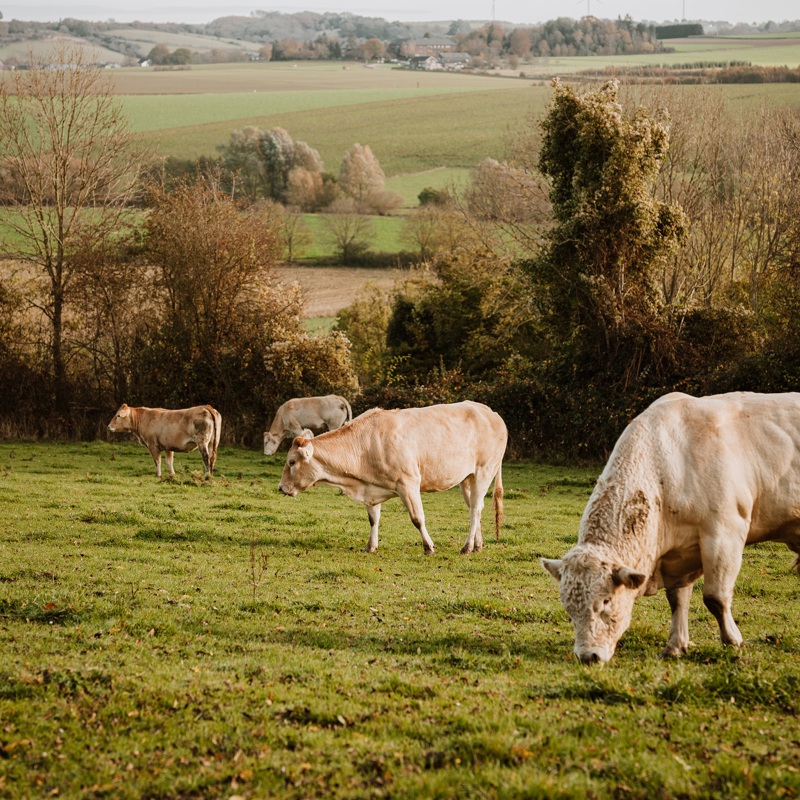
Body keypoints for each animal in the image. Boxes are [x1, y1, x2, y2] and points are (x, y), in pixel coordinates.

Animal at [278, 401, 507, 554]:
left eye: (291, 462)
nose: (281, 487)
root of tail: (491, 412)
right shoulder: (371, 487)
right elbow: (373, 519)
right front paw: (370, 546)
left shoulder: (408, 482)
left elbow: (417, 518)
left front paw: (429, 546)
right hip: (467, 478)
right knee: (474, 509)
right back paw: (477, 545)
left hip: (483, 472)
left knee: (475, 509)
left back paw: (467, 547)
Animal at [542, 391, 800, 665]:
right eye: (568, 609)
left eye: (606, 600)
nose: (587, 655)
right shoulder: (680, 553)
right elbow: (677, 600)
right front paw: (675, 646)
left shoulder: (724, 534)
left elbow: (715, 598)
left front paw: (733, 641)